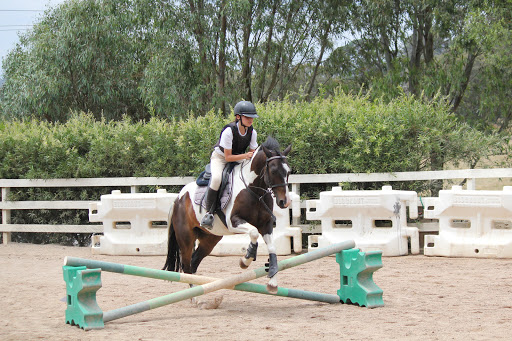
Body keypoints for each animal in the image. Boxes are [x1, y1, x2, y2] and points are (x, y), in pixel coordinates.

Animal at [164, 135, 292, 292]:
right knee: (187, 266)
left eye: (288, 172)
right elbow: (254, 232)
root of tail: (177, 199)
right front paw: (245, 260)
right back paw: (193, 294)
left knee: (194, 262)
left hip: (210, 238)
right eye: (273, 171)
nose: (284, 202)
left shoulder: (266, 224)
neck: (254, 190)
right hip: (186, 238)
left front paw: (272, 281)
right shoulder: (233, 221)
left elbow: (272, 247)